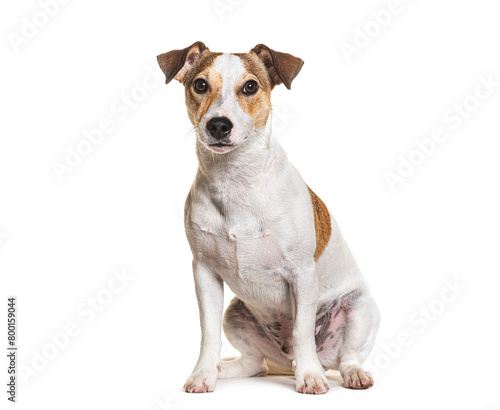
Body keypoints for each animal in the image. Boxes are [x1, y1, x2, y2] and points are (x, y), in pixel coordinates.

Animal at [158, 41, 380, 394]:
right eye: (200, 84)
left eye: (250, 87)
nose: (218, 125)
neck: (234, 181)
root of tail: (284, 362)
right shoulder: (204, 271)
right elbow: (208, 332)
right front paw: (203, 374)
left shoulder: (302, 274)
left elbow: (302, 331)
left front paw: (310, 377)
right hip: (236, 314)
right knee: (255, 364)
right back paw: (224, 369)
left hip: (359, 308)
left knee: (347, 357)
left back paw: (346, 373)